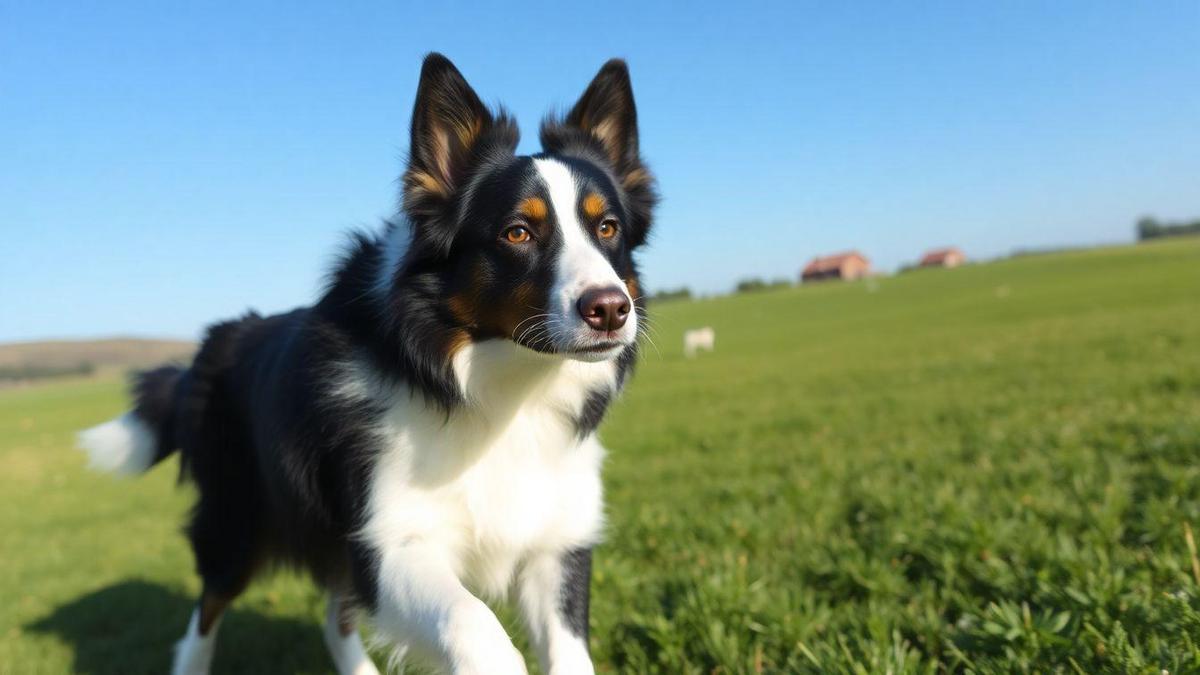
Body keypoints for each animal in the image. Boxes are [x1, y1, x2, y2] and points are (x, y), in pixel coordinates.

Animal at [77, 53, 657, 672]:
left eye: (607, 228)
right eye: (518, 232)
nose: (610, 310)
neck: (503, 387)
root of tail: (221, 338)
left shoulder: (556, 541)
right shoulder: (390, 538)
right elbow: (474, 622)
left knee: (335, 618)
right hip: (237, 525)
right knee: (204, 616)